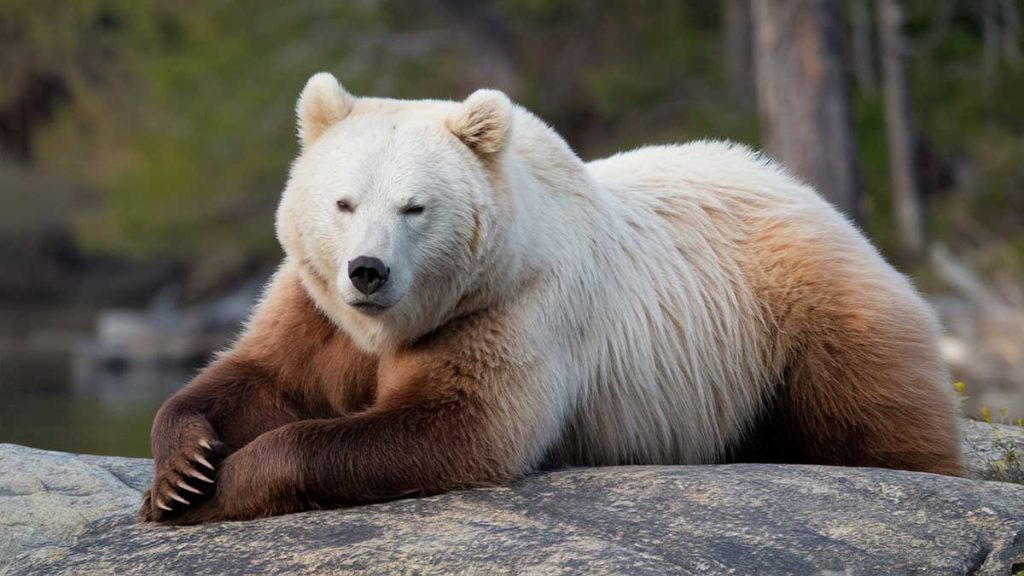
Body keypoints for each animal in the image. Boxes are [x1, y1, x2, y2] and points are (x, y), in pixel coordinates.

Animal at [140, 70, 962, 520]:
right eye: (343, 202)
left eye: (414, 207)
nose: (367, 271)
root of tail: (821, 201)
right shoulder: (317, 311)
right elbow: (260, 375)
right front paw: (182, 473)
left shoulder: (512, 308)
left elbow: (457, 425)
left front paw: (228, 484)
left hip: (808, 319)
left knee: (876, 418)